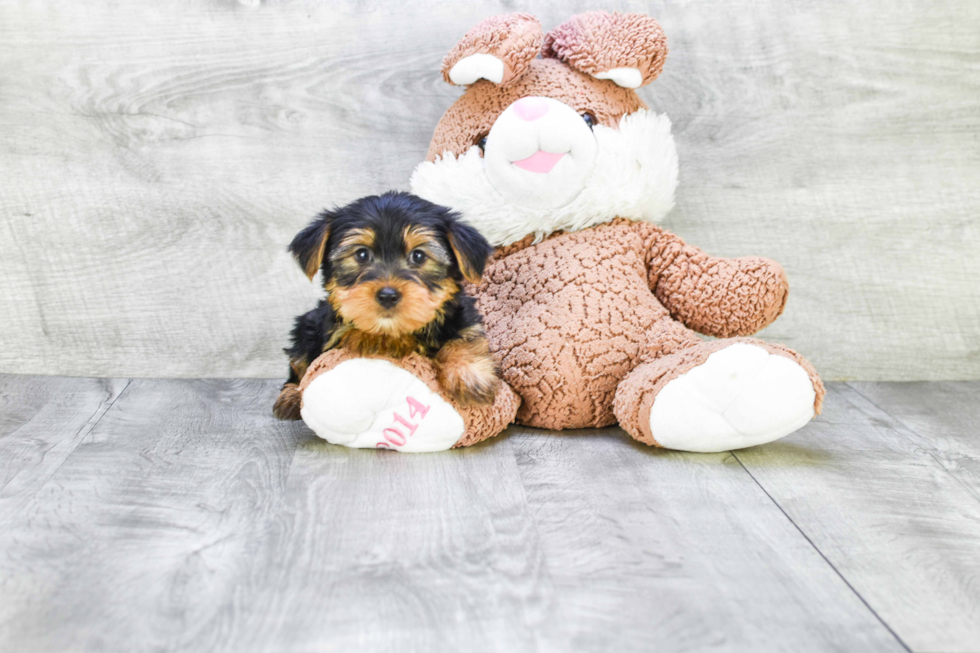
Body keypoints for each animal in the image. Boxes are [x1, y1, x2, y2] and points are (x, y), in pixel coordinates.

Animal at [274, 191, 498, 420]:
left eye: (418, 256)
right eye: (362, 254)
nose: (388, 295)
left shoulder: (462, 315)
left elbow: (465, 337)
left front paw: (470, 377)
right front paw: (378, 340)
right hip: (307, 326)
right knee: (299, 364)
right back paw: (291, 396)